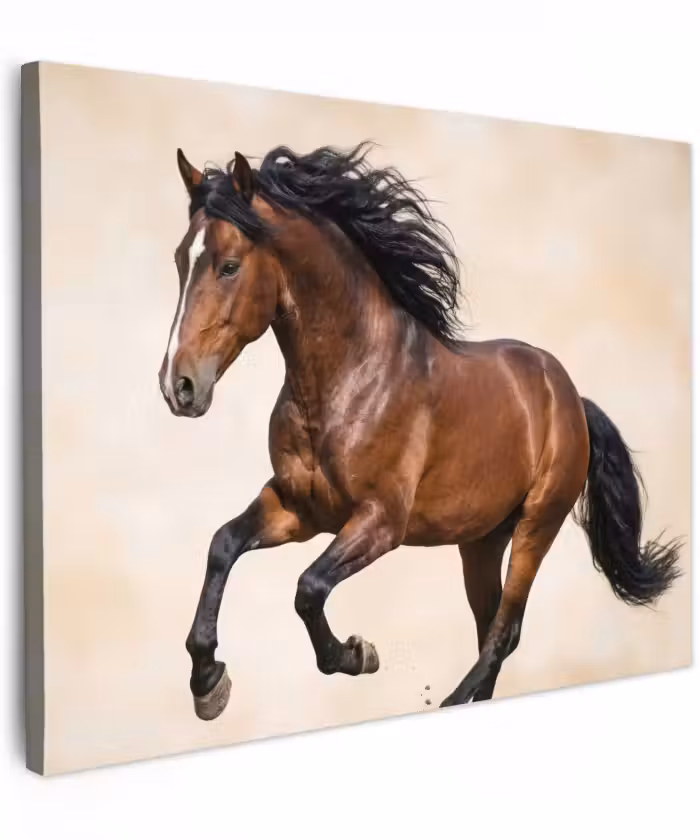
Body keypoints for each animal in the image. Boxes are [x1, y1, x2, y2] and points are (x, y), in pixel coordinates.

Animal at [159, 142, 681, 720]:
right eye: (180, 260)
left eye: (229, 266)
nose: (178, 386)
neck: (349, 379)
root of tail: (569, 396)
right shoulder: (298, 509)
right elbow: (223, 545)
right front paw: (209, 683)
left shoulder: (381, 522)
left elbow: (309, 587)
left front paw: (356, 654)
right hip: (481, 541)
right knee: (491, 626)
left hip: (537, 525)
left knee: (505, 631)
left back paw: (451, 700)